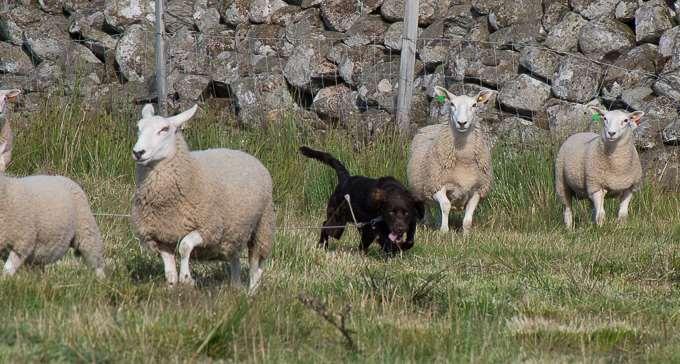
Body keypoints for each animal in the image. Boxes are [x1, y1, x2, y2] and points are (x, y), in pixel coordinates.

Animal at [0, 89, 105, 278]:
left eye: (4, 98)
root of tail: (61, 177)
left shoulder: (23, 240)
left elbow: (7, 270)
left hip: (86, 229)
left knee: (95, 259)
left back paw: (101, 281)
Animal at [130, 103, 274, 292]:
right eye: (138, 128)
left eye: (164, 129)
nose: (138, 152)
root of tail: (245, 153)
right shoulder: (160, 237)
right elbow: (169, 271)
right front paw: (172, 287)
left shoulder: (208, 229)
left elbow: (184, 246)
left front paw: (186, 278)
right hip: (233, 232)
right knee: (234, 258)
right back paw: (235, 288)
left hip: (262, 226)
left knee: (255, 266)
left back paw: (251, 292)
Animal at [404, 85, 494, 235]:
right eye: (452, 104)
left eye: (474, 105)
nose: (462, 123)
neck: (464, 162)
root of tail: (431, 126)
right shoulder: (436, 185)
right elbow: (446, 206)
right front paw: (444, 231)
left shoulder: (478, 189)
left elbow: (468, 216)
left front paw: (466, 234)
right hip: (422, 187)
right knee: (427, 205)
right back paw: (427, 223)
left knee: (437, 207)